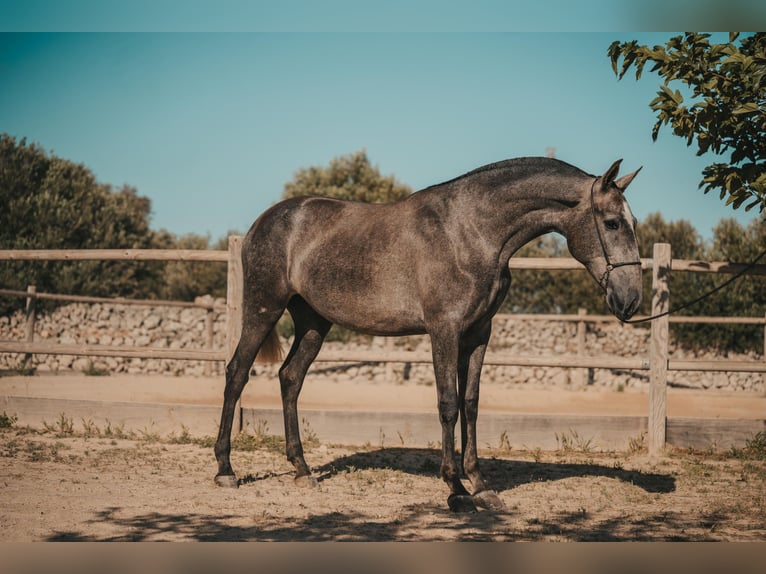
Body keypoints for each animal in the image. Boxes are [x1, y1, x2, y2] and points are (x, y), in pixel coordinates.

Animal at [214, 158, 640, 512]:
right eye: (612, 222)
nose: (631, 299)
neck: (470, 231)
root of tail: (264, 222)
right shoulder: (444, 330)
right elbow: (448, 404)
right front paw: (456, 489)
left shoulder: (478, 334)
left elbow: (471, 403)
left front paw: (481, 485)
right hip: (263, 309)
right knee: (236, 373)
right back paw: (226, 470)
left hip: (313, 323)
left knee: (290, 378)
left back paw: (303, 470)